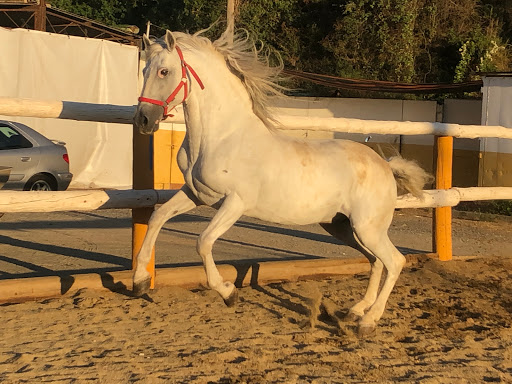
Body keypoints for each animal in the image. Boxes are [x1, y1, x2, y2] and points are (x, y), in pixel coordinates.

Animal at [133, 29, 432, 336]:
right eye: (144, 70)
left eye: (164, 71)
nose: (143, 120)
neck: (222, 137)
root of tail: (386, 165)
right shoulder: (196, 194)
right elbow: (157, 217)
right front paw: (140, 281)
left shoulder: (234, 203)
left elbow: (203, 242)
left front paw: (229, 293)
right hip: (343, 228)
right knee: (376, 261)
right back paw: (354, 312)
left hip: (367, 228)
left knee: (395, 261)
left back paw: (368, 322)